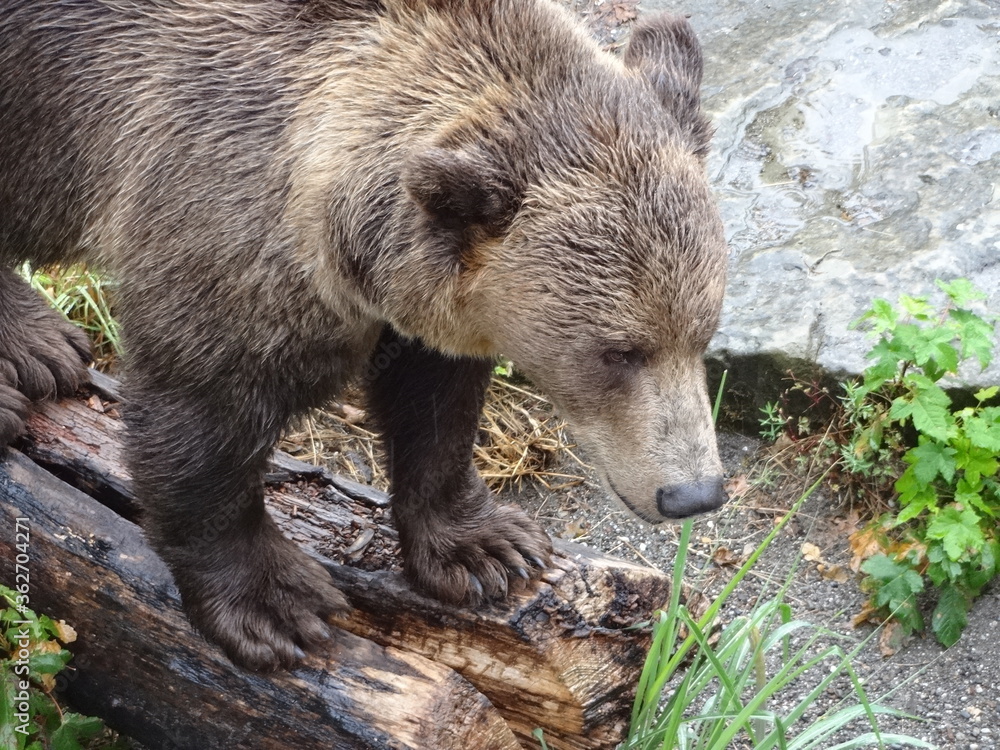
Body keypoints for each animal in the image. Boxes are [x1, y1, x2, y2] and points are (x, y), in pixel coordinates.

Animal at [0, 0, 729, 671]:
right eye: (619, 351)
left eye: (702, 333)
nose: (693, 493)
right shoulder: (211, 206)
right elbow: (201, 412)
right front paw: (275, 604)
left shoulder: (425, 298)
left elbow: (434, 408)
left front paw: (488, 550)